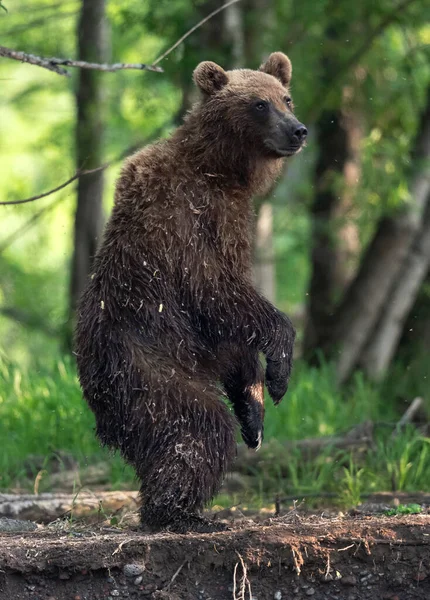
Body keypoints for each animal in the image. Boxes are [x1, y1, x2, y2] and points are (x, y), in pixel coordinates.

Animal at [75, 50, 308, 528]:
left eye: (287, 98)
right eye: (259, 103)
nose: (298, 130)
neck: (219, 169)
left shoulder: (233, 223)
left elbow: (232, 332)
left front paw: (255, 412)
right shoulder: (187, 220)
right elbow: (217, 291)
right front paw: (278, 372)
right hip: (147, 364)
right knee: (196, 426)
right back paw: (177, 512)